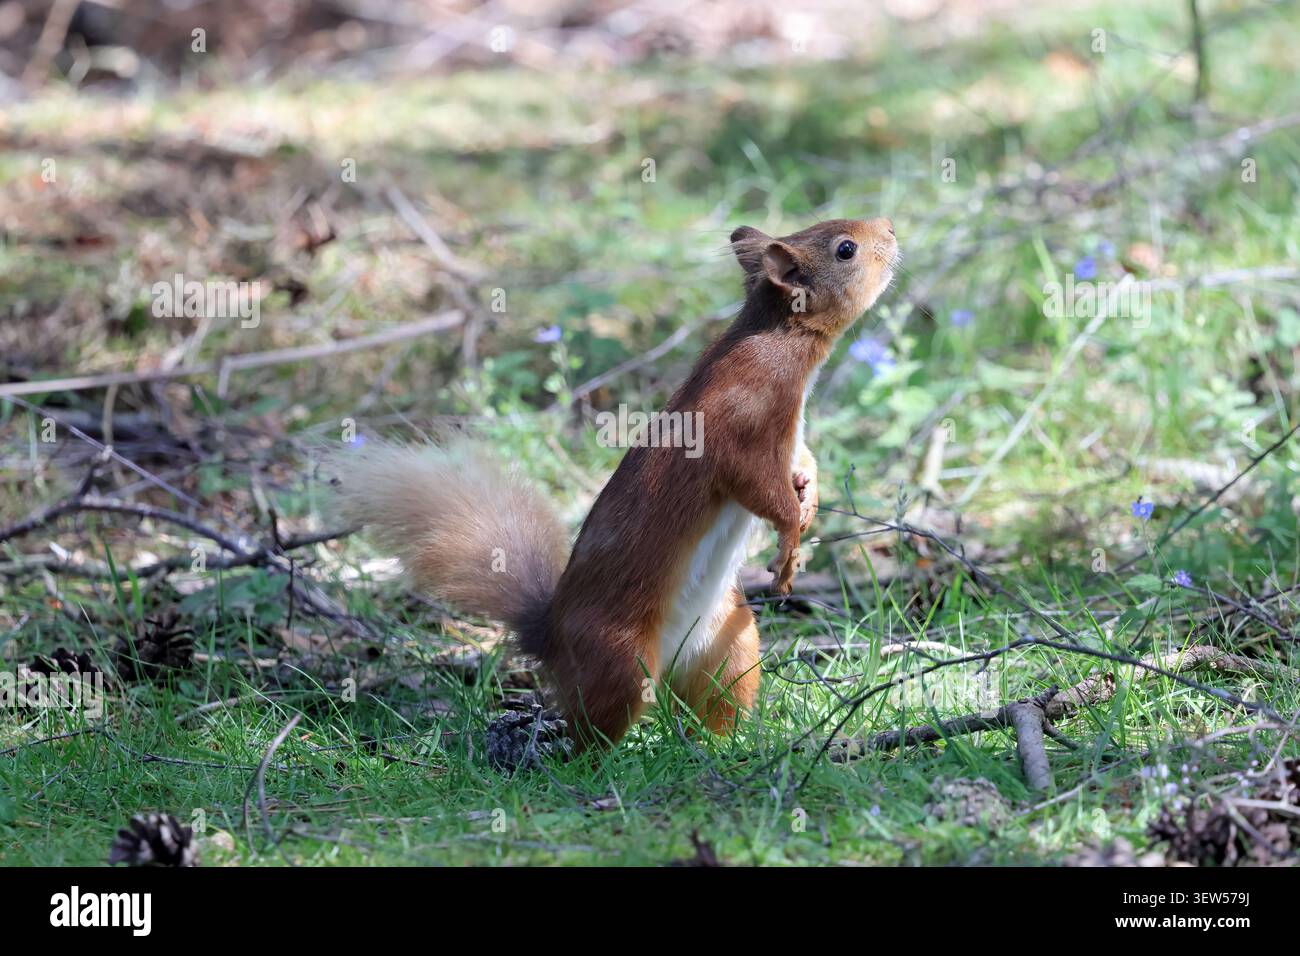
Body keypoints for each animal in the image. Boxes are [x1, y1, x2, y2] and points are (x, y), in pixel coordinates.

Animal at [335, 217, 899, 750]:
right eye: (844, 248)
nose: (891, 228)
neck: (781, 342)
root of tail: (552, 639)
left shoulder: (789, 437)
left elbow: (803, 461)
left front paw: (811, 499)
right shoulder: (742, 424)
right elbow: (759, 487)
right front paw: (789, 542)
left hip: (730, 646)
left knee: (710, 704)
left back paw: (721, 747)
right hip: (619, 660)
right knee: (593, 730)